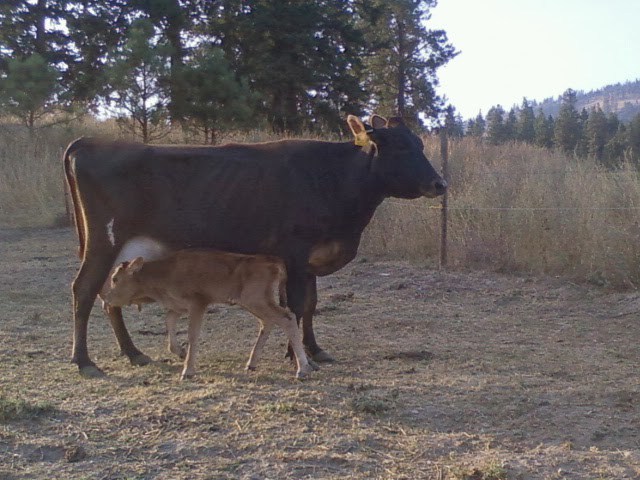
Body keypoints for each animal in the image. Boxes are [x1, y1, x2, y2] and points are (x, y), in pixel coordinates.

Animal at [103, 250, 314, 380]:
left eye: (115, 278)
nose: (106, 298)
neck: (165, 274)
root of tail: (273, 261)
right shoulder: (177, 307)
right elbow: (169, 322)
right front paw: (179, 351)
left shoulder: (198, 302)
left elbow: (192, 334)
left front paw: (187, 370)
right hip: (255, 302)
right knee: (267, 322)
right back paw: (251, 363)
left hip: (256, 300)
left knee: (287, 318)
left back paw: (303, 369)